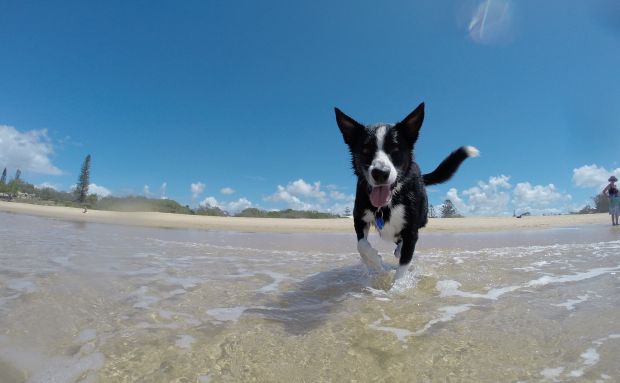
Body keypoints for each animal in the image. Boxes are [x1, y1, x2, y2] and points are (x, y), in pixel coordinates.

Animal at [336, 103, 478, 280]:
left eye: (395, 150)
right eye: (366, 150)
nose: (380, 173)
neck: (388, 203)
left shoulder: (411, 231)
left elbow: (403, 265)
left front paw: (397, 285)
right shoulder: (359, 218)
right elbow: (361, 245)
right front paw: (376, 263)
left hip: (423, 216)